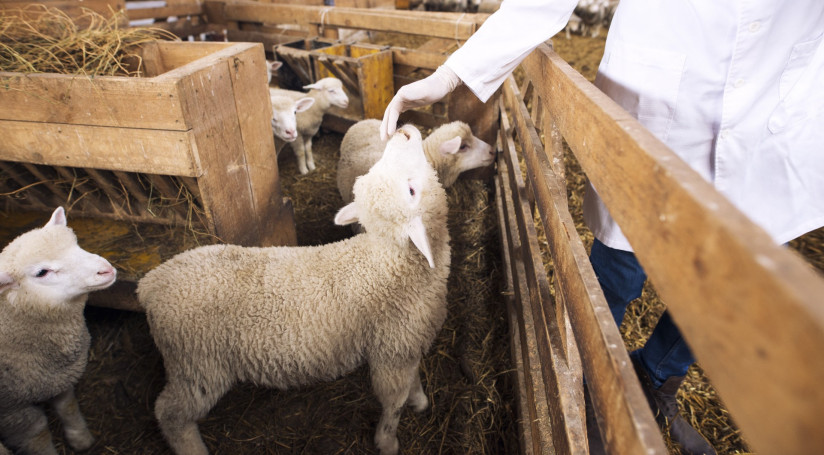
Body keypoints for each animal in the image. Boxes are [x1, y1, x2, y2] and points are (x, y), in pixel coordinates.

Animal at [0, 207, 117, 455]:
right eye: (42, 272)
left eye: (76, 243)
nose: (105, 270)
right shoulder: (12, 410)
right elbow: (37, 433)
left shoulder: (57, 377)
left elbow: (68, 406)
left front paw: (80, 439)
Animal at [137, 124, 451, 455]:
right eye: (411, 191)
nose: (403, 132)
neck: (391, 261)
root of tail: (151, 283)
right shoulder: (392, 351)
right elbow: (393, 403)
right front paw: (387, 441)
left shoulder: (408, 344)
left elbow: (413, 380)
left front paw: (420, 400)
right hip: (197, 364)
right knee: (170, 414)